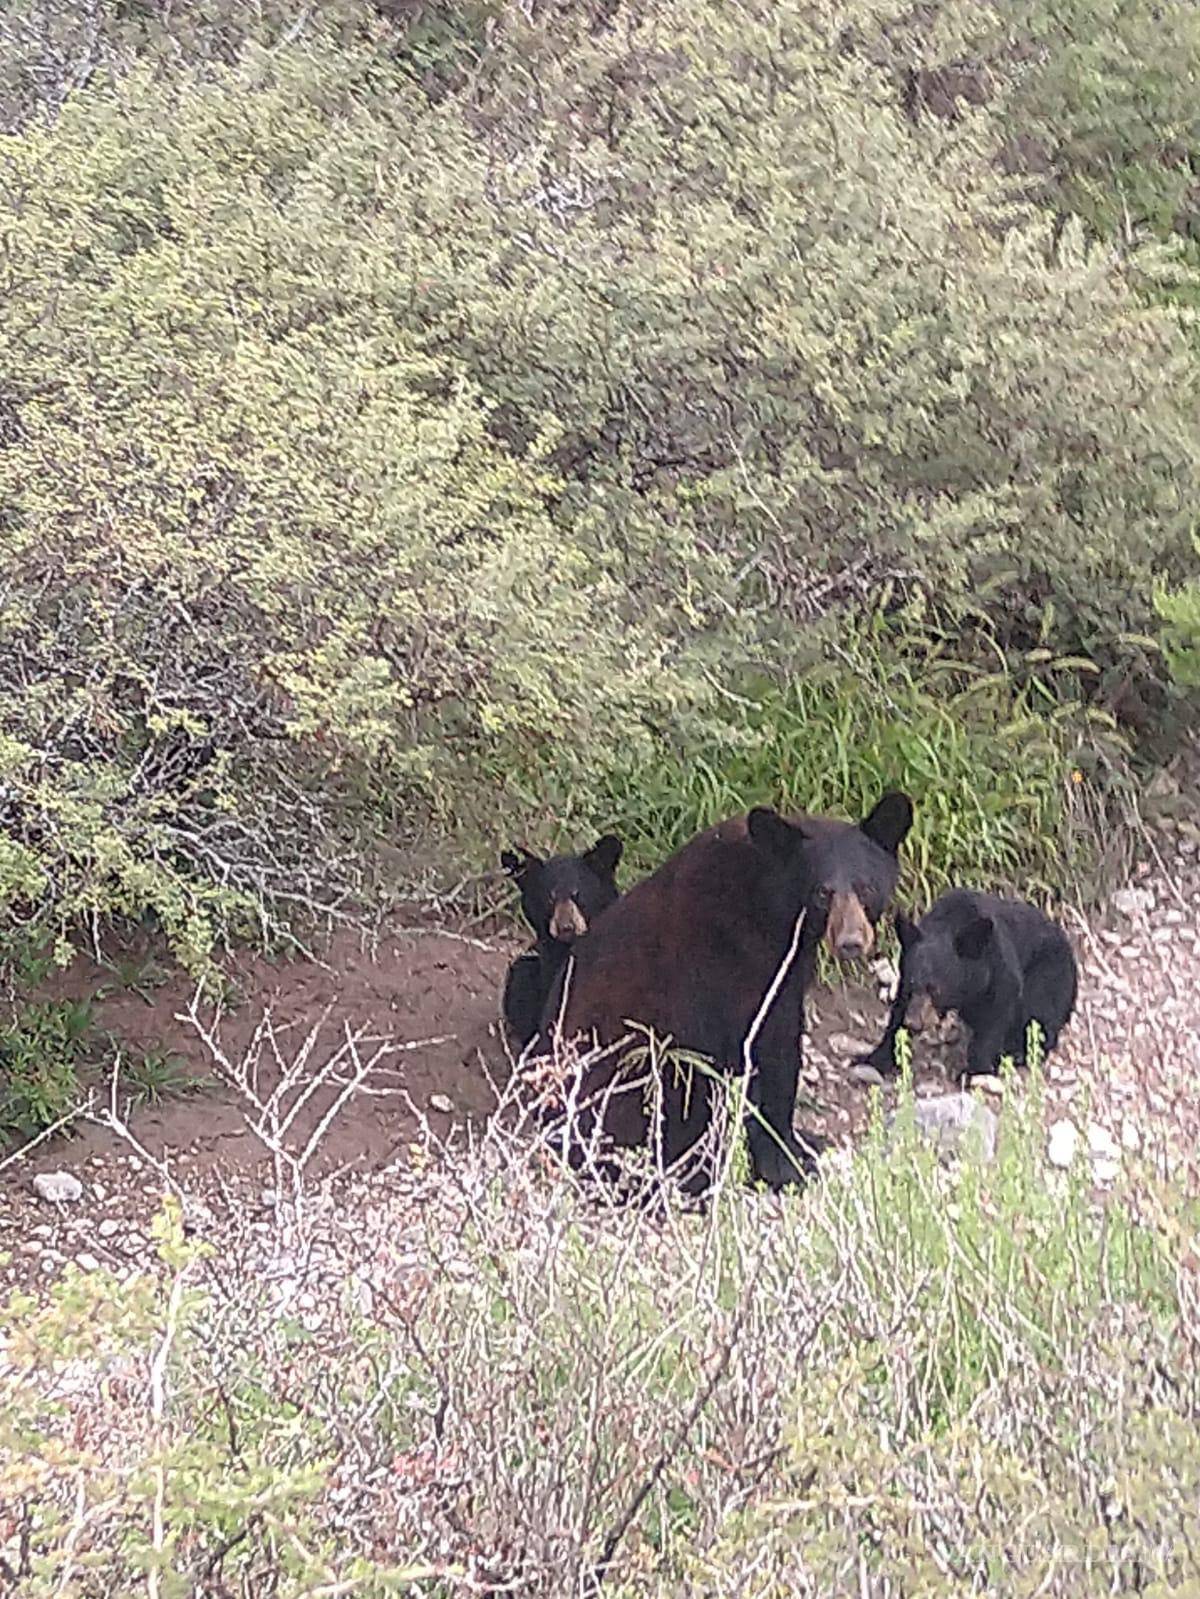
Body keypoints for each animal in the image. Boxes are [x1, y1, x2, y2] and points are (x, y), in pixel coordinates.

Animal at [535, 792, 914, 1193]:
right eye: (822, 893)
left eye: (866, 887)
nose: (851, 942)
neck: (768, 904)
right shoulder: (738, 969)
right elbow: (766, 1055)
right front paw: (784, 1163)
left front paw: (802, 1144)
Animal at [859, 888, 1079, 1082]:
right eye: (913, 985)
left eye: (935, 989)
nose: (913, 1022)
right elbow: (898, 1012)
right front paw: (875, 1058)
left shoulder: (999, 966)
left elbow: (998, 1012)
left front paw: (974, 1070)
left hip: (1050, 972)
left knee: (1040, 1011)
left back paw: (1019, 1052)